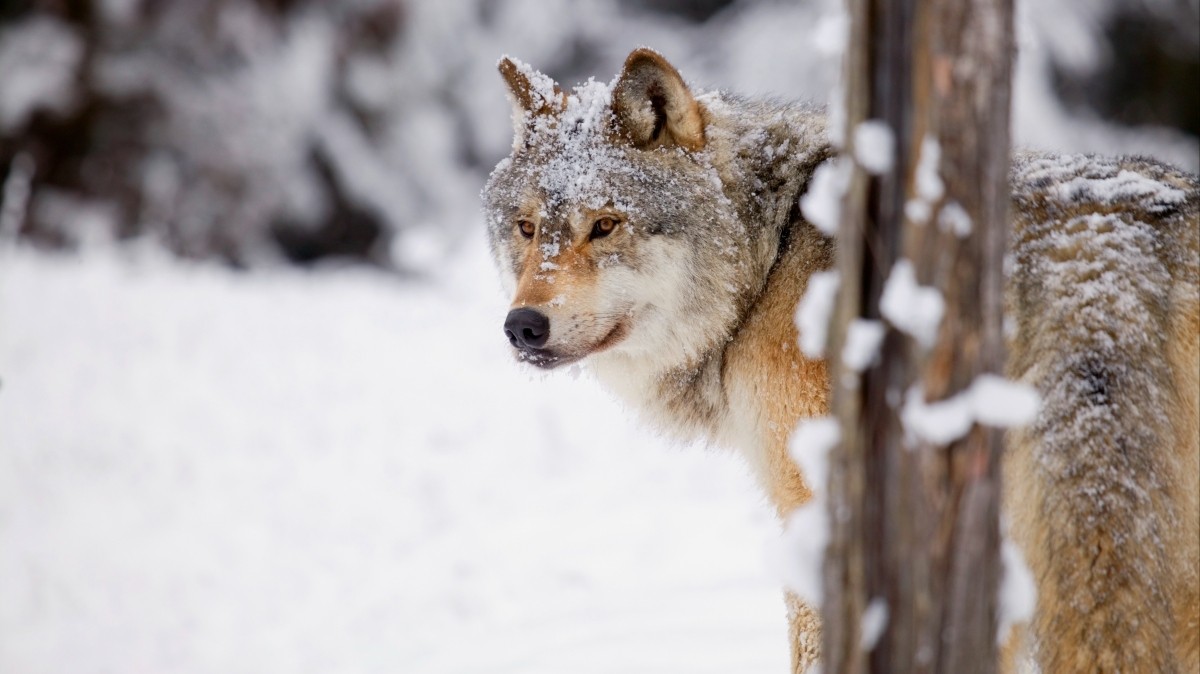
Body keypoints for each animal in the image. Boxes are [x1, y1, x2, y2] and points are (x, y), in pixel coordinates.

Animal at [480, 48, 1200, 671]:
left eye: (605, 225)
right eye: (527, 229)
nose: (522, 327)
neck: (767, 260)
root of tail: (1099, 243)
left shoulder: (818, 514)